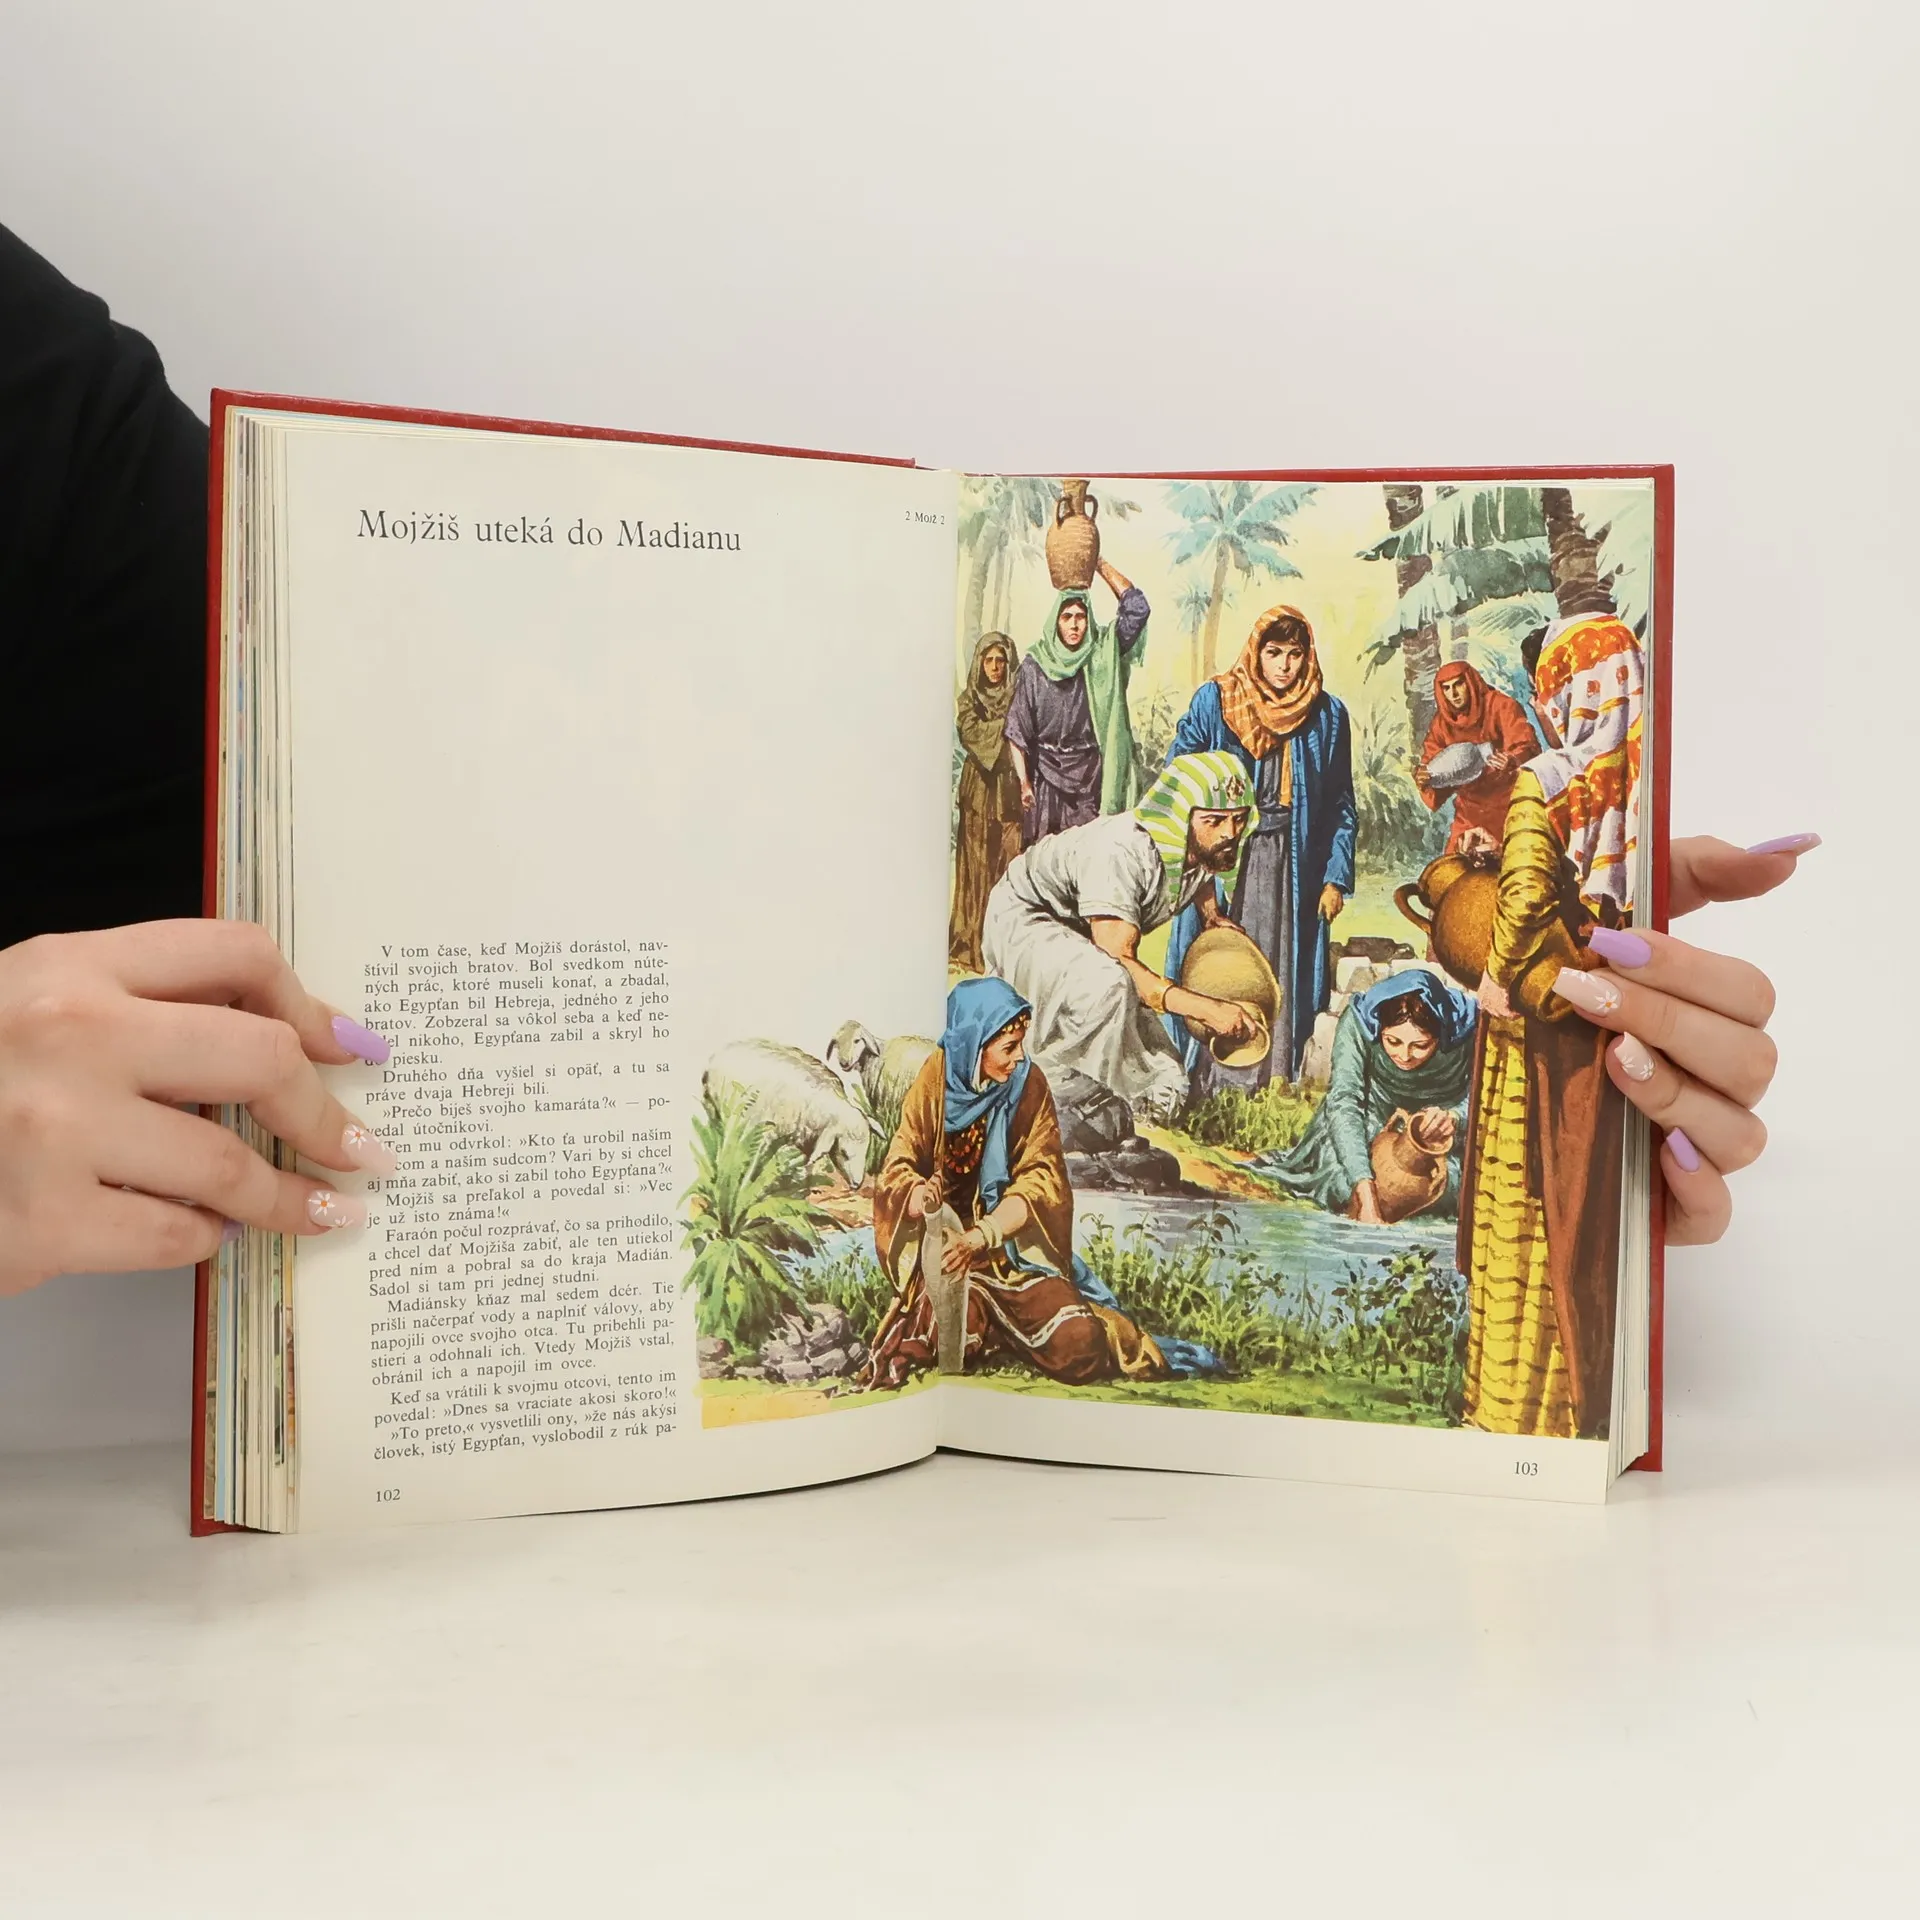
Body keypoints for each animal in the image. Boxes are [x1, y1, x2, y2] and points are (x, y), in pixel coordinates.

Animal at [701, 1039, 871, 1192]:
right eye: (844, 1153)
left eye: (865, 1151)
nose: (857, 1184)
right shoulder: (766, 1134)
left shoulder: (808, 1139)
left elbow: (809, 1167)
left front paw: (806, 1189)